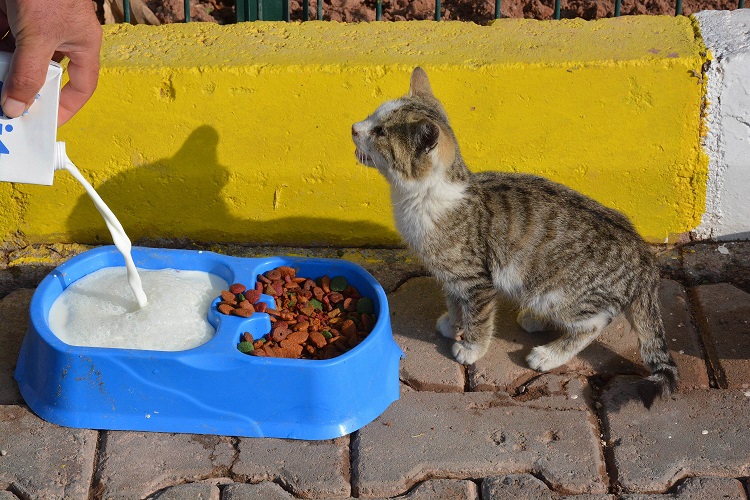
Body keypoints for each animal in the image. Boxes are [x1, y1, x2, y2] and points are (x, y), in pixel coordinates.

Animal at [352, 66, 680, 404]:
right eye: (371, 116)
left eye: (380, 132)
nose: (353, 128)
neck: (423, 197)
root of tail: (644, 253)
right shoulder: (451, 275)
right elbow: (456, 301)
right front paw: (453, 323)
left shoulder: (476, 279)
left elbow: (479, 316)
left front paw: (471, 347)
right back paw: (535, 320)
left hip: (559, 292)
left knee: (594, 322)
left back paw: (549, 354)